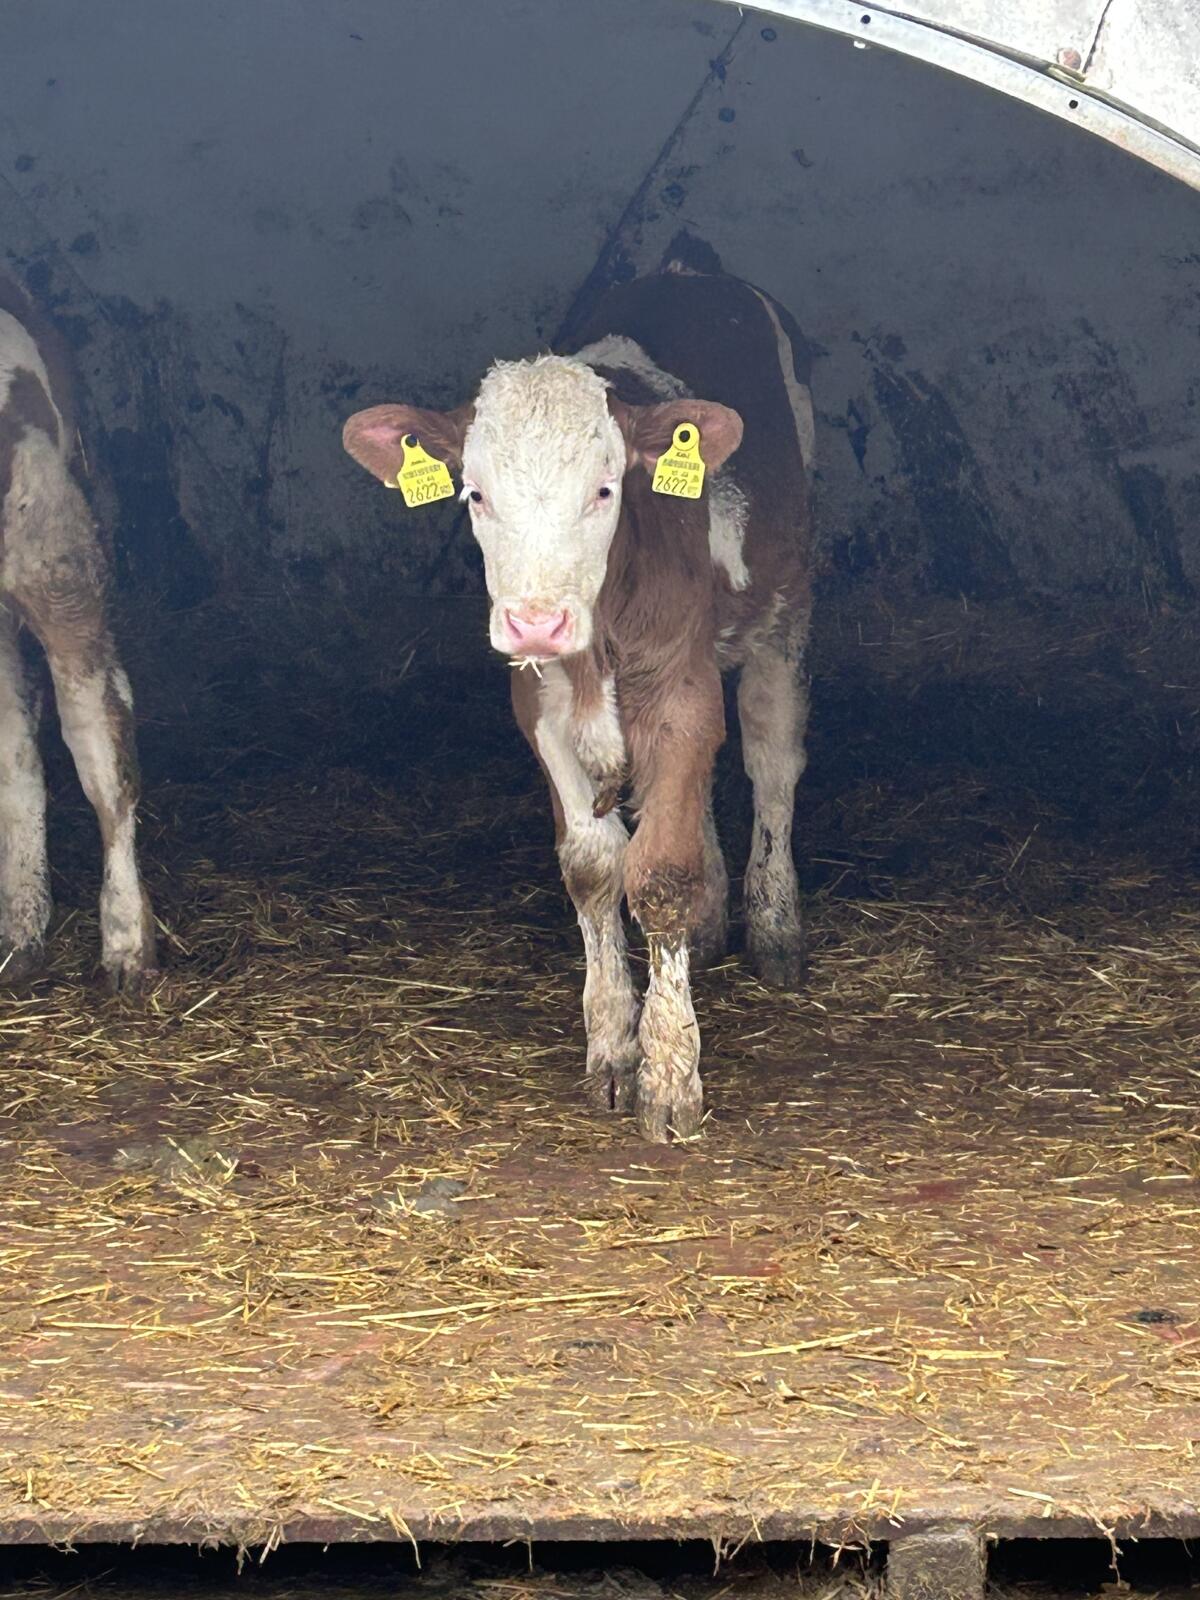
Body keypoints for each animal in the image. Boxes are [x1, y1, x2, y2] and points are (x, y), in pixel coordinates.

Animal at [343, 255, 813, 1141]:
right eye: (474, 494)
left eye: (604, 490)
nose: (535, 619)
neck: (600, 639)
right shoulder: (540, 705)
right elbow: (595, 867)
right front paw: (614, 1049)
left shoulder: (680, 686)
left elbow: (661, 869)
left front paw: (670, 1075)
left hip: (787, 608)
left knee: (773, 762)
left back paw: (776, 925)